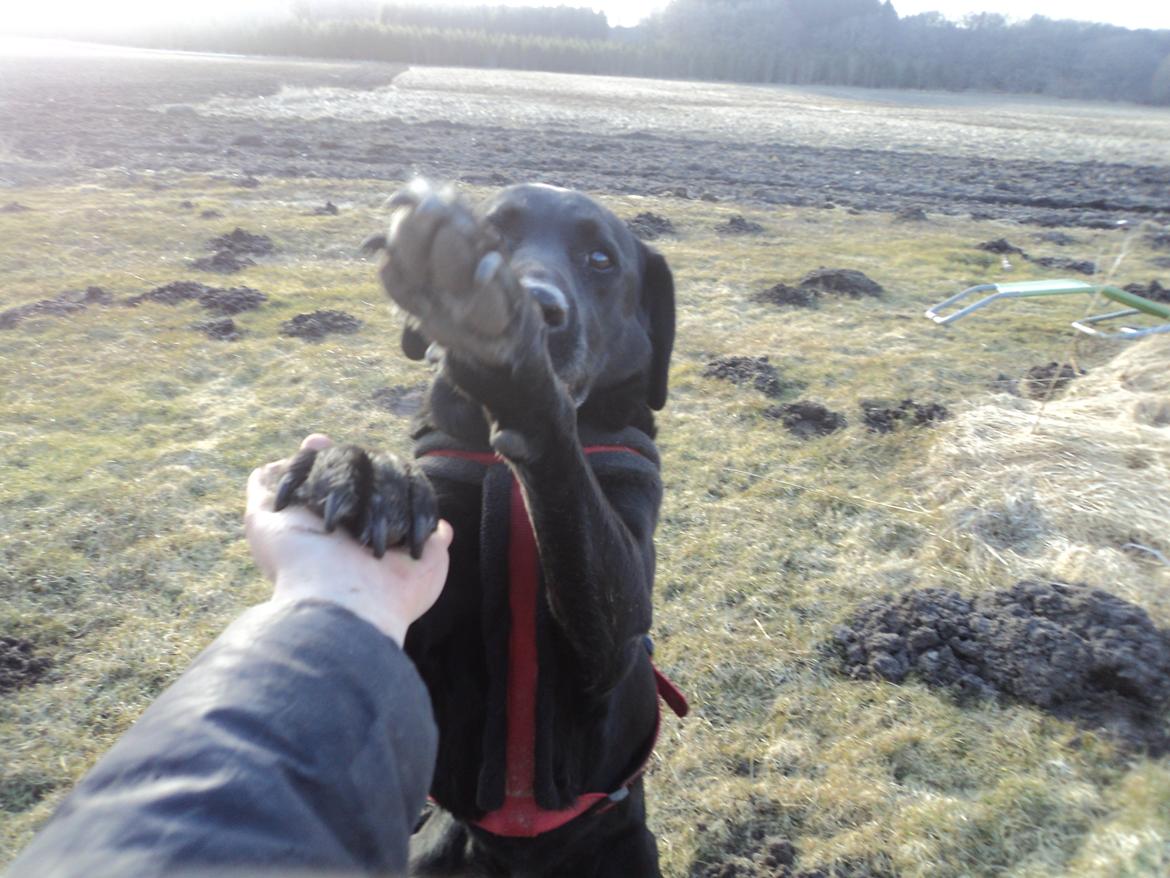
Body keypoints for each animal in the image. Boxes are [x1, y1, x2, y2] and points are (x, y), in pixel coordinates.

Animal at [276, 182, 678, 875]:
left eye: (600, 259)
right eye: (495, 232)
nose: (540, 304)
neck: (505, 474)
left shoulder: (612, 632)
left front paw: (506, 342)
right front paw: (368, 474)